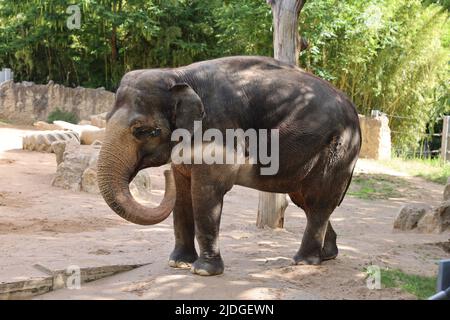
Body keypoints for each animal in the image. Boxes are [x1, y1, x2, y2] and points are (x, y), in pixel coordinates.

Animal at [96, 55, 360, 276]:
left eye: (143, 131)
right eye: (106, 119)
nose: (164, 175)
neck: (177, 74)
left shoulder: (220, 130)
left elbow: (206, 192)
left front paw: (203, 271)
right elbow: (182, 193)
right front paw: (178, 263)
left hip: (338, 151)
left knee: (318, 201)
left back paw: (304, 262)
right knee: (306, 201)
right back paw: (327, 255)